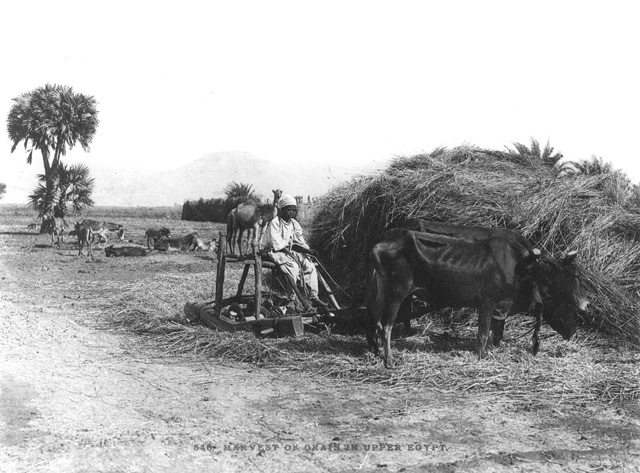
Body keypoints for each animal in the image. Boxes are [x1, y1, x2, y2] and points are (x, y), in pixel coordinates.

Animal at [368, 227, 588, 366]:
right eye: (575, 275)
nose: (585, 303)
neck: (518, 265)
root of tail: (380, 243)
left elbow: (492, 333)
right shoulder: (487, 303)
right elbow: (483, 335)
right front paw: (482, 357)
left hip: (382, 292)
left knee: (373, 318)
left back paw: (376, 350)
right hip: (397, 293)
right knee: (386, 326)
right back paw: (389, 360)